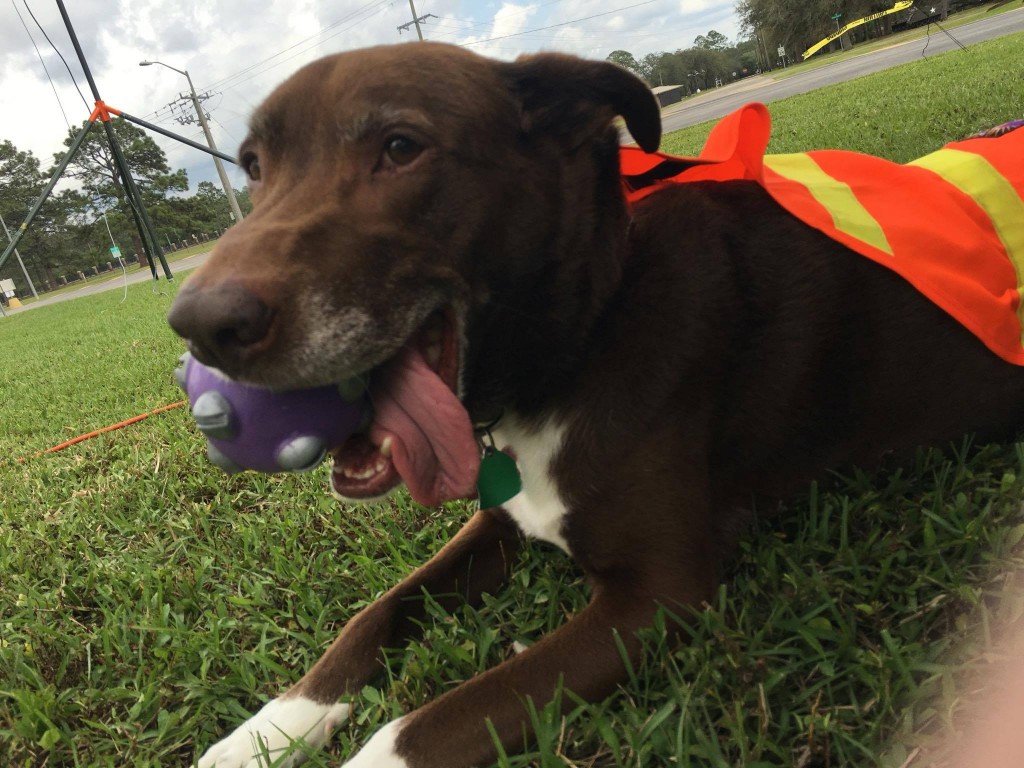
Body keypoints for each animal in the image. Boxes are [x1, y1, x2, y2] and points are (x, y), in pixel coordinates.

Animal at [167, 40, 1024, 768]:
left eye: (401, 147)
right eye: (252, 166)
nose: (200, 326)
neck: (591, 326)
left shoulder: (660, 594)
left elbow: (415, 730)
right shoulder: (501, 520)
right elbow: (373, 612)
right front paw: (269, 728)